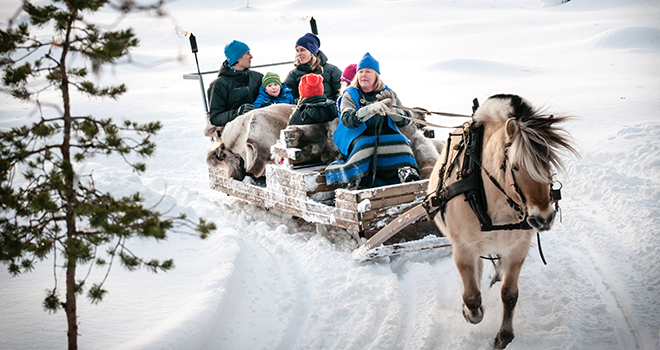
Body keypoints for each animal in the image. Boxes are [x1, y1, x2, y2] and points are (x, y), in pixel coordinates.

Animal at [428, 93, 576, 348]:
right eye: (515, 167)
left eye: (547, 164)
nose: (544, 218)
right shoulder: (462, 248)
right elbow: (472, 296)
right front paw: (470, 313)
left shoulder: (518, 248)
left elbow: (509, 294)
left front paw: (504, 335)